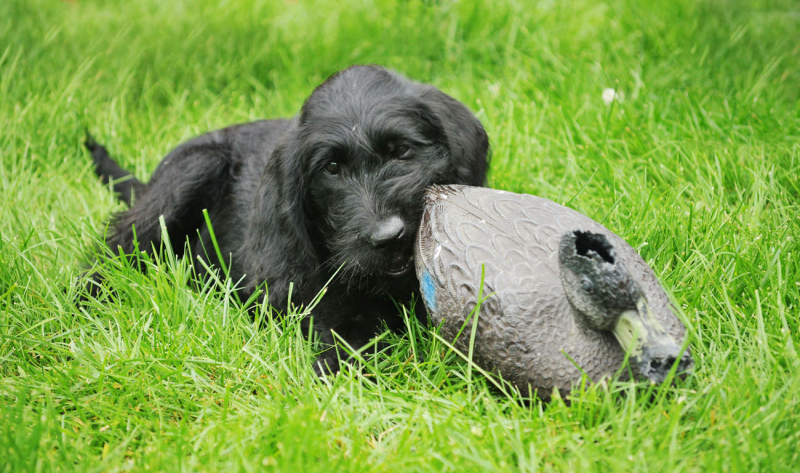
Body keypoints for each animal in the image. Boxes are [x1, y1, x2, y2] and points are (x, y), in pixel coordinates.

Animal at [84, 64, 490, 370]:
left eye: (402, 150)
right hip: (191, 171)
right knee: (114, 250)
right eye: (331, 168)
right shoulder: (328, 309)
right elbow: (352, 347)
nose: (387, 235)